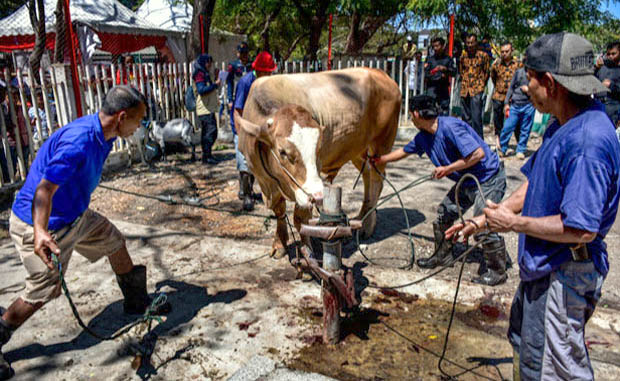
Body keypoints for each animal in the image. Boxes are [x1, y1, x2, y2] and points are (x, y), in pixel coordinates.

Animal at [234, 68, 402, 256]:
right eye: (282, 152)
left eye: (319, 148)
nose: (318, 196)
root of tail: (380, 73)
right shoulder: (264, 181)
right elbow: (279, 210)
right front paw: (279, 244)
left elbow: (300, 219)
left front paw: (308, 251)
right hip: (358, 150)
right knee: (367, 177)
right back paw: (360, 218)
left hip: (381, 145)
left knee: (376, 181)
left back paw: (366, 226)